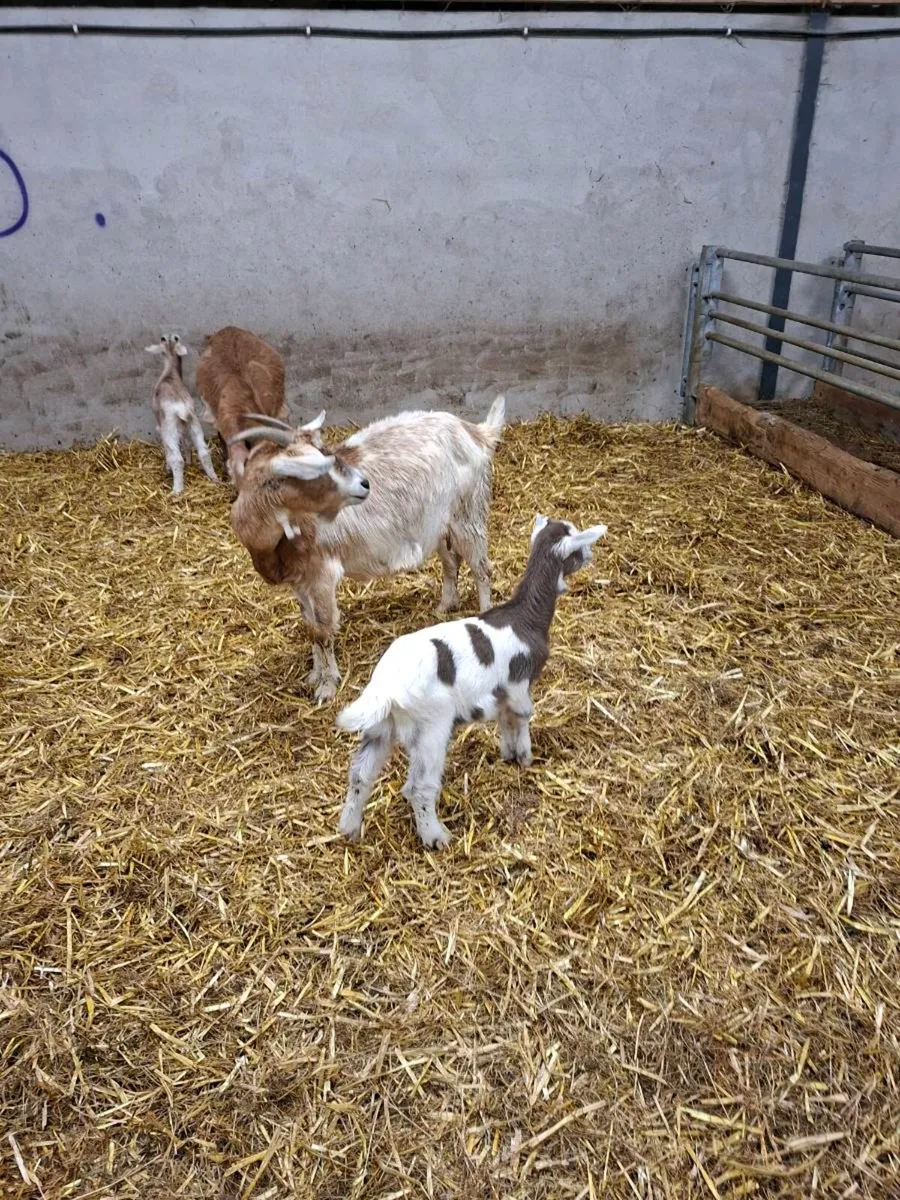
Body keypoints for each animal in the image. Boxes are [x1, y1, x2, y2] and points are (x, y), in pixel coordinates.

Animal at [145, 334, 218, 495]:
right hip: (194, 425)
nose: (163, 337)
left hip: (170, 429)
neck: (170, 374)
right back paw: (214, 478)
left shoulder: (160, 426)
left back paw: (176, 490)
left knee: (177, 459)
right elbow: (186, 444)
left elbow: (167, 449)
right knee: (204, 453)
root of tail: (182, 408)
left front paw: (167, 467)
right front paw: (190, 461)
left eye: (163, 339)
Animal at [230, 398, 506, 701]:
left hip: (468, 512)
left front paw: (327, 686)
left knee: (482, 568)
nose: (364, 485)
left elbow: (323, 628)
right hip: (438, 524)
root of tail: (477, 433)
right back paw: (445, 605)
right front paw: (315, 675)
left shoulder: (322, 575)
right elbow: (310, 627)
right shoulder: (300, 581)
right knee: (451, 560)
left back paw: (485, 617)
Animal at [335, 514, 607, 848]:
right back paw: (436, 837)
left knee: (359, 775)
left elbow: (505, 722)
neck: (525, 617)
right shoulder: (520, 686)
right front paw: (526, 758)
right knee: (419, 788)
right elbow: (523, 719)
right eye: (578, 546)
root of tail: (386, 687)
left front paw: (508, 755)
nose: (590, 556)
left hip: (381, 727)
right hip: (431, 728)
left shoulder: (501, 693)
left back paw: (349, 828)